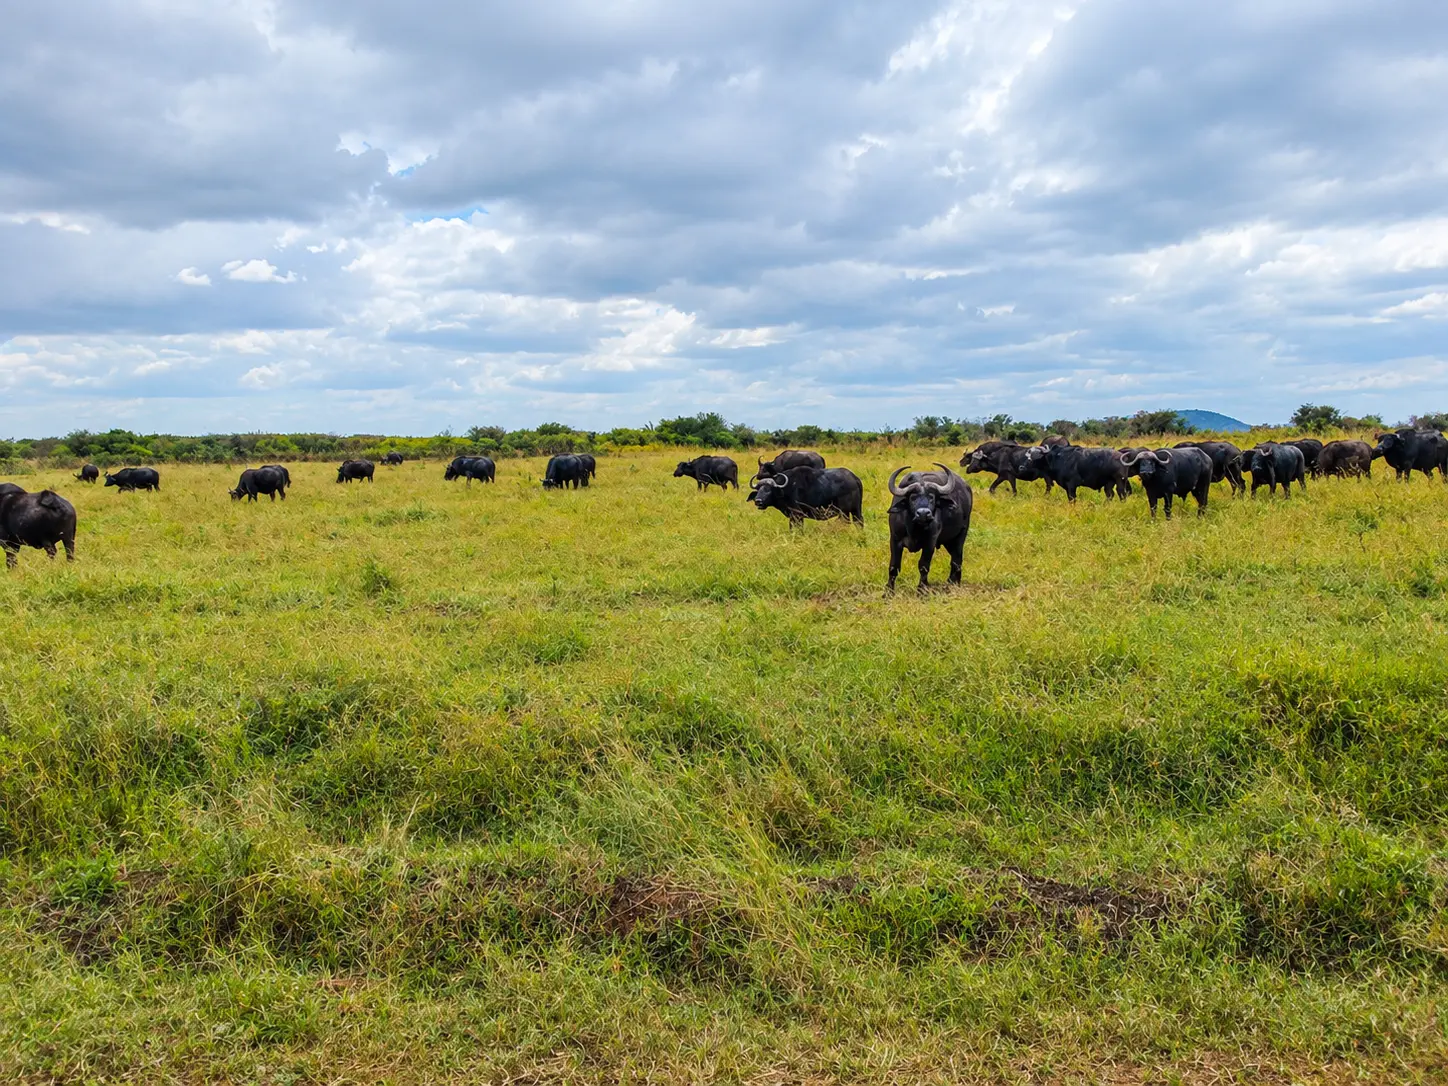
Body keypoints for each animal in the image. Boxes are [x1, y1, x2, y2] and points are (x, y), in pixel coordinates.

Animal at [886, 464, 972, 592]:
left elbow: (923, 566)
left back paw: (953, 583)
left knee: (956, 559)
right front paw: (888, 591)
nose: (923, 513)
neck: (914, 528)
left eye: (931, 497)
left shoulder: (930, 542)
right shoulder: (895, 539)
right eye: (913, 498)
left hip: (960, 535)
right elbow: (893, 567)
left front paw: (922, 589)